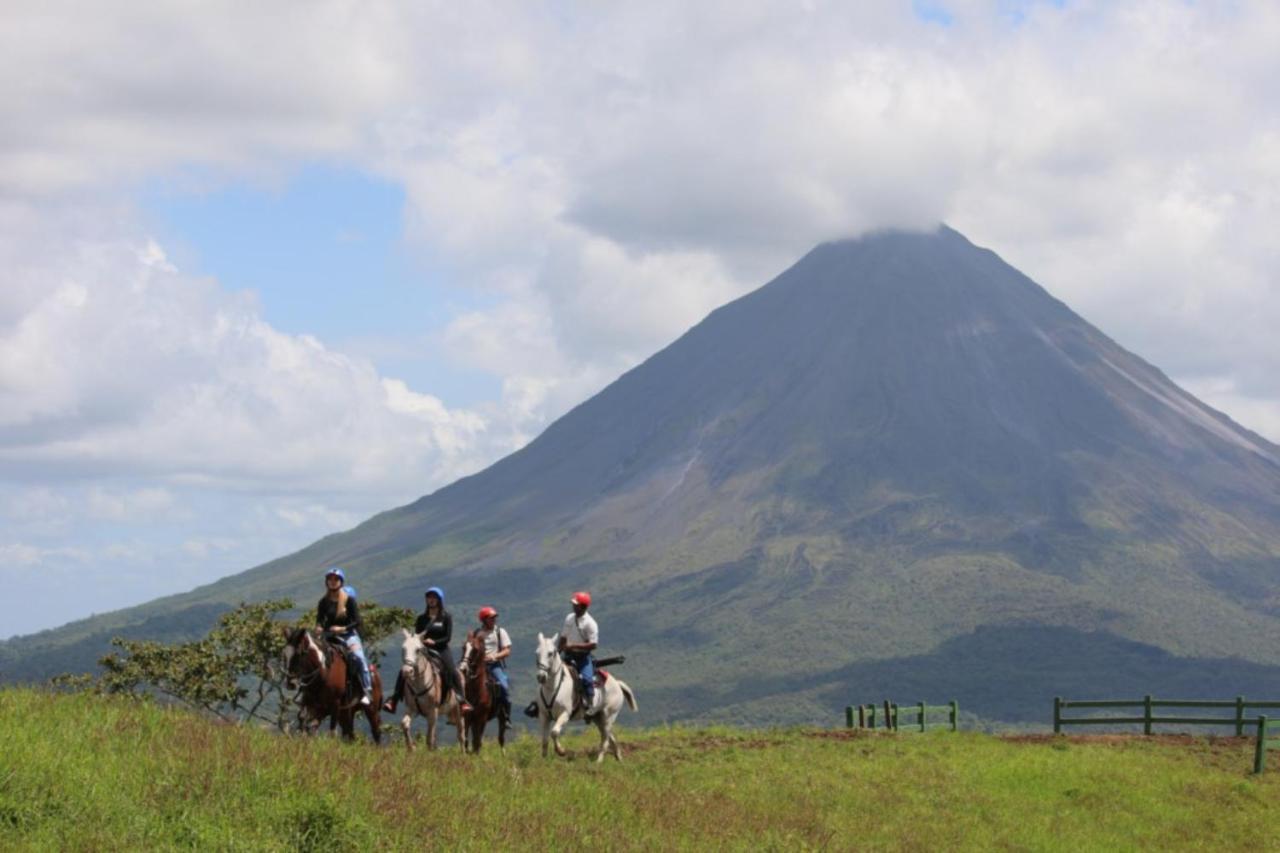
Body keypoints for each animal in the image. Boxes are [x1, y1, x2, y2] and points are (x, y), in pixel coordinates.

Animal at [396, 625, 468, 753]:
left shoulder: (432, 711)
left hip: (458, 710)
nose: (407, 671)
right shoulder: (412, 708)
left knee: (461, 735)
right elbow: (404, 724)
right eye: (403, 648)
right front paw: (411, 748)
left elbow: (429, 739)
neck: (419, 683)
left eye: (418, 650)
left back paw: (463, 754)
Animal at [455, 625, 504, 753]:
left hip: (501, 716)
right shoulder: (467, 716)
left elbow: (477, 742)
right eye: (463, 647)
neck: (476, 690)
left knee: (501, 738)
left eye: (475, 650)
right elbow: (467, 741)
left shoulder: (482, 718)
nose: (463, 669)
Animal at [529, 627, 634, 758]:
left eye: (550, 653)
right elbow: (544, 740)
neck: (552, 688)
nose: (541, 676)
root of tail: (617, 684)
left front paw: (561, 751)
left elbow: (554, 732)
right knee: (611, 738)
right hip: (598, 718)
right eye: (537, 653)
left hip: (609, 716)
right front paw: (544, 759)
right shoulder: (544, 715)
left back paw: (598, 760)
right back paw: (618, 758)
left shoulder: (565, 714)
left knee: (605, 740)